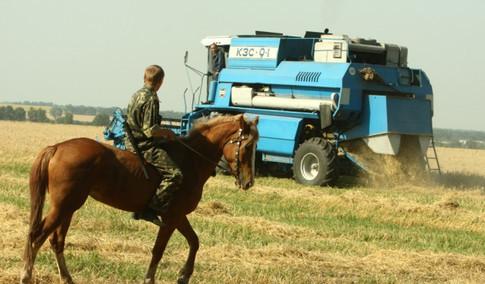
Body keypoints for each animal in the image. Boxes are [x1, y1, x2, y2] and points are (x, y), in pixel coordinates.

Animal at [20, 114, 260, 282]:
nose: (249, 182)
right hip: (64, 206)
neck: (191, 160)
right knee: (37, 236)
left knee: (55, 240)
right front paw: (151, 279)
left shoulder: (178, 217)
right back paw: (26, 275)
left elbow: (194, 241)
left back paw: (66, 278)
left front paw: (184, 275)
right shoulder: (171, 218)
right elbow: (159, 250)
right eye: (248, 146)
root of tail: (56, 147)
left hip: (68, 208)